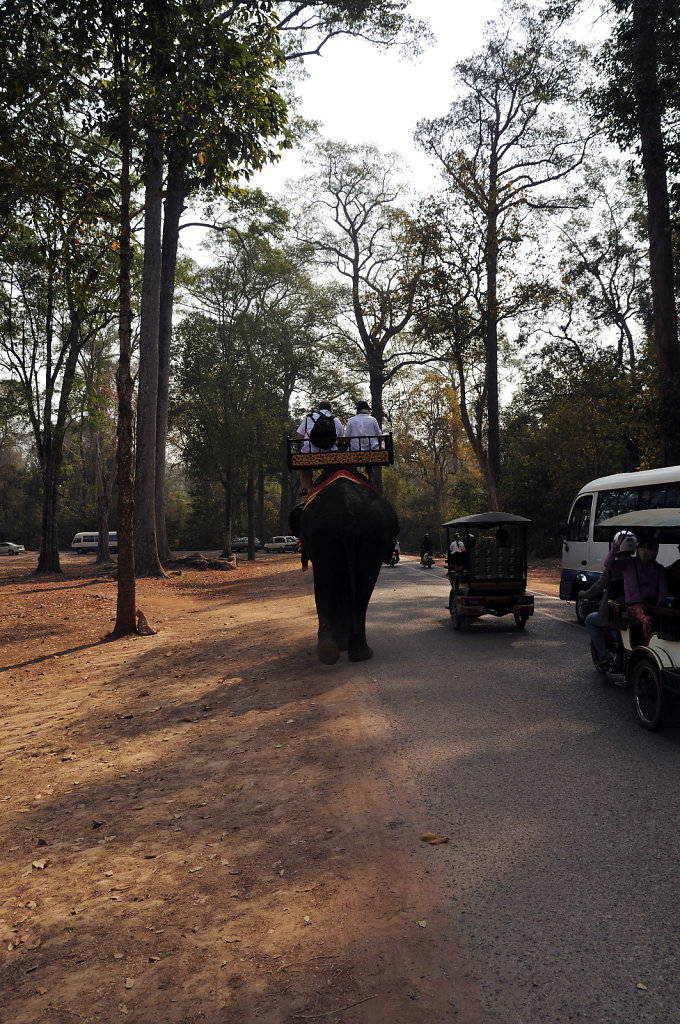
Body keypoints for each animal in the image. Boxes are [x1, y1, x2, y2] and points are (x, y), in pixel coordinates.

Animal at [290, 468, 399, 663]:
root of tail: (347, 510)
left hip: (323, 532)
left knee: (327, 581)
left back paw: (333, 649)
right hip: (371, 533)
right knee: (362, 582)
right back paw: (352, 652)